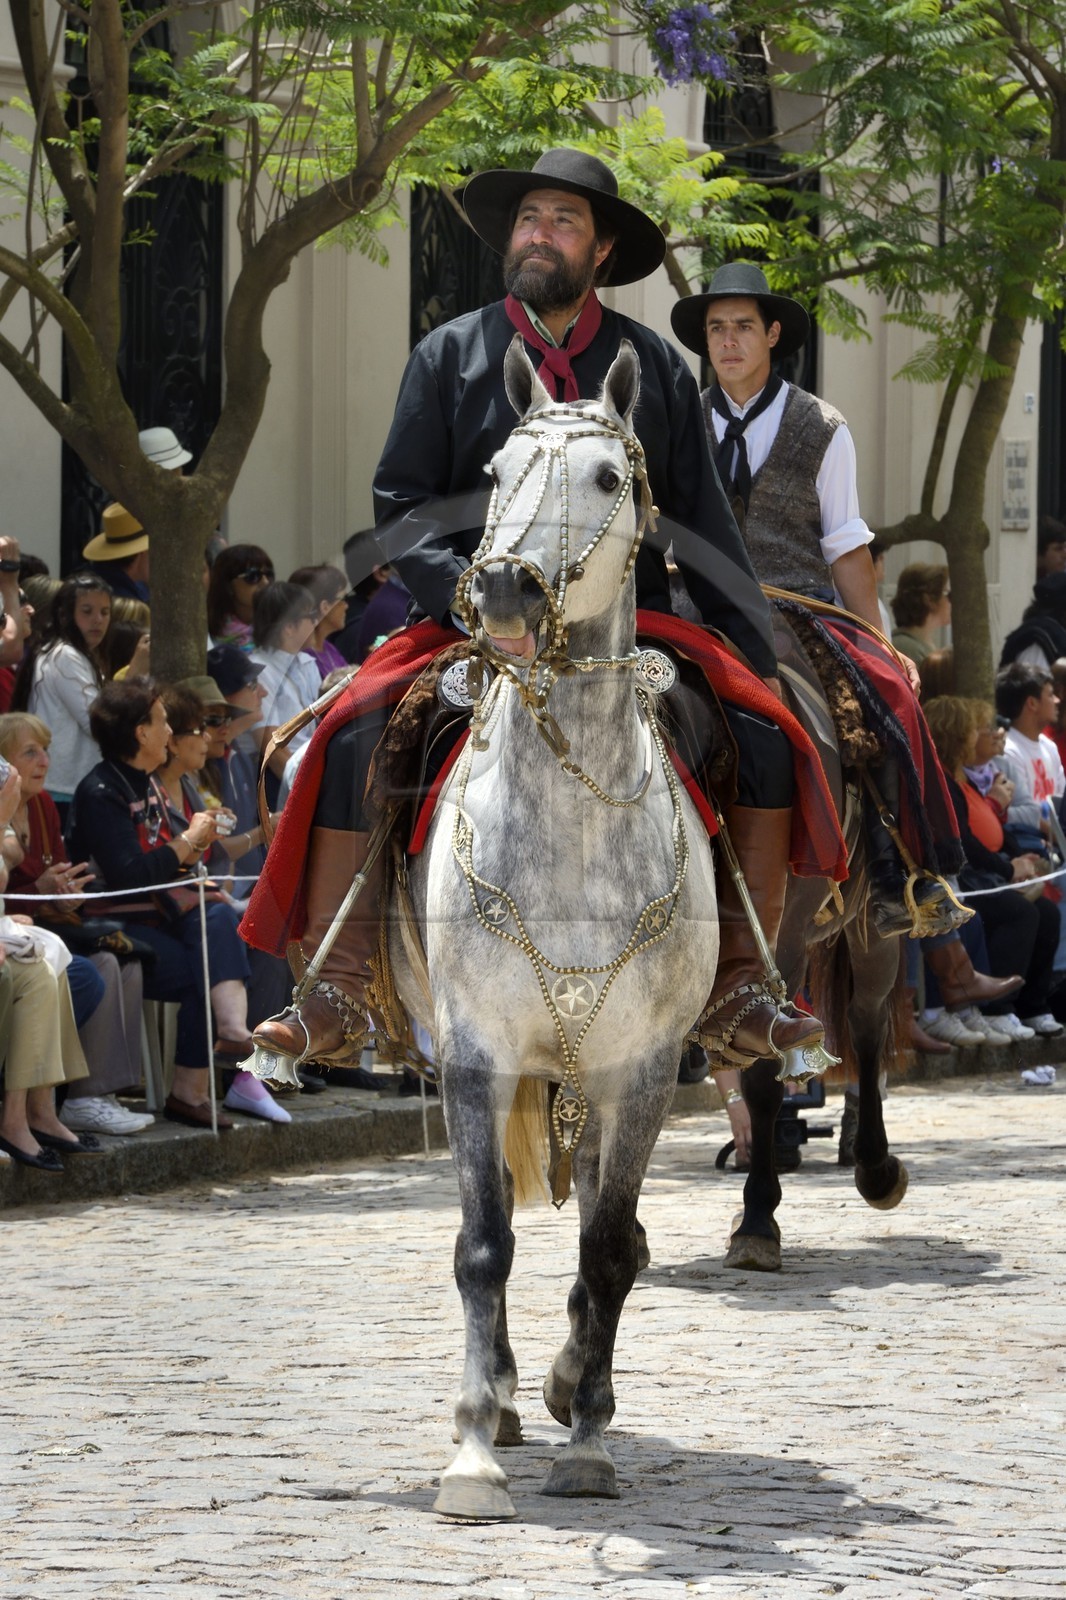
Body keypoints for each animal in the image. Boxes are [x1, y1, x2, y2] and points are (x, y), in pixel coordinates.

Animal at [387, 337, 719, 1520]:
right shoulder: (475, 1055)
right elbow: (483, 1245)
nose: (502, 586)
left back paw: (571, 1382)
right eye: (494, 469)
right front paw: (473, 1447)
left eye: (608, 476)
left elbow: (610, 1248)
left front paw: (589, 1440)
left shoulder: (642, 1066)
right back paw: (506, 1394)